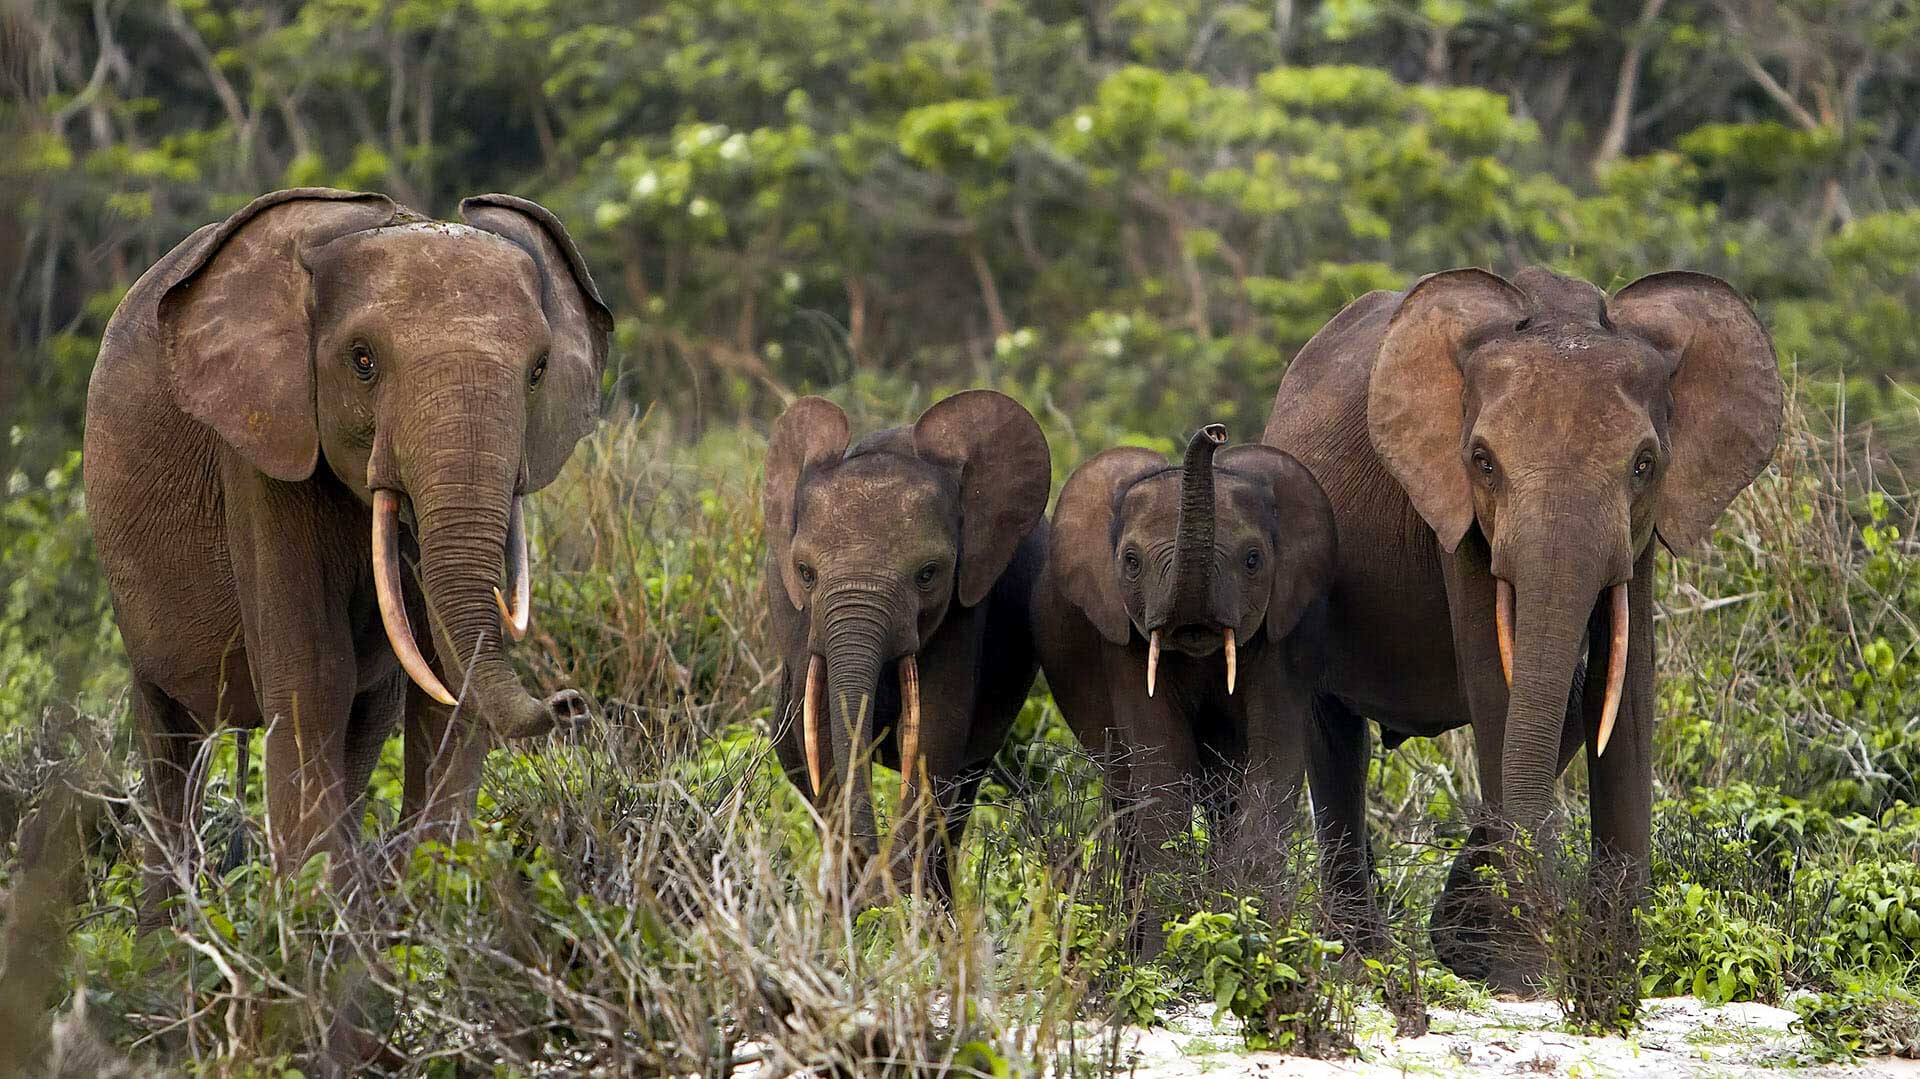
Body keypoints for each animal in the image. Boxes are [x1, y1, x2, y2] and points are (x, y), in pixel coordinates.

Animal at [80, 187, 606, 913]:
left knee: (364, 723)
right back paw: (170, 936)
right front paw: (310, 918)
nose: (571, 703)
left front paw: (425, 902)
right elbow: (313, 673)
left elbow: (442, 681)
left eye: (538, 370)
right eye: (362, 361)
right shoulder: (262, 442)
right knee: (169, 741)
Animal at [756, 385, 1052, 890]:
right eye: (805, 572)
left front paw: (891, 895)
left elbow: (935, 735)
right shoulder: (797, 618)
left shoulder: (966, 605)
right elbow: (823, 735)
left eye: (928, 574)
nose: (872, 864)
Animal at [1036, 424, 1336, 944]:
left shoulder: (1288, 634)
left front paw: (1251, 930)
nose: (1215, 433)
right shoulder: (1122, 638)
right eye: (1131, 562)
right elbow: (1163, 767)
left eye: (1253, 560)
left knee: (1224, 795)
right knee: (1125, 791)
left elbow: (1273, 762)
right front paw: (1165, 949)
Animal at [1259, 266, 1781, 983]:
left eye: (1644, 464)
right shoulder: (1452, 512)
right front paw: (1518, 971)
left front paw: (1615, 969)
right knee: (1335, 739)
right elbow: (1498, 690)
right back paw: (1361, 963)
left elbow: (1625, 691)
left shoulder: (1642, 531)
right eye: (1483, 461)